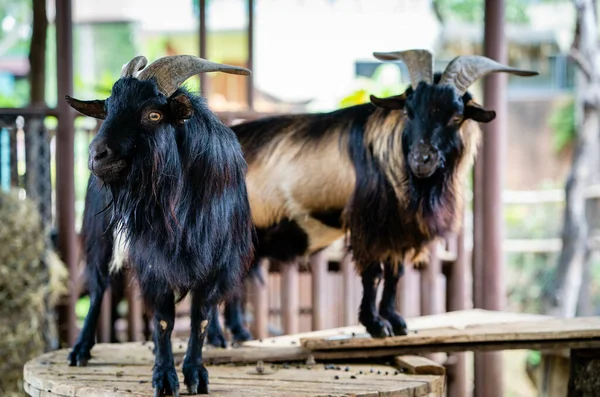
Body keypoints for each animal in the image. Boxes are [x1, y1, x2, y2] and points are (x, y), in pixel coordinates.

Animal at [65, 54, 255, 394]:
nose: (96, 155)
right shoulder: (155, 262)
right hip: (101, 236)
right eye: (108, 109)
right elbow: (164, 318)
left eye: (153, 114)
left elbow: (201, 316)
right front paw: (165, 376)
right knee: (99, 286)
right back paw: (80, 350)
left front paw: (196, 373)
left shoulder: (218, 262)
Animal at [227, 50, 536, 338]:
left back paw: (237, 334)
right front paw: (376, 325)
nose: (421, 159)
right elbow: (373, 274)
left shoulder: (397, 230)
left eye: (457, 116)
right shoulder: (371, 225)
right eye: (409, 111)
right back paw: (227, 338)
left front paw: (396, 321)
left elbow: (395, 274)